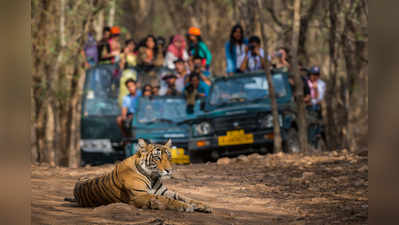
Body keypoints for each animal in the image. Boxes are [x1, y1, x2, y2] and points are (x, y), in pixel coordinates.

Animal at [64, 139, 211, 213]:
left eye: (169, 157)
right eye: (157, 158)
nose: (169, 170)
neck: (152, 176)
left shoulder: (163, 191)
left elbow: (183, 196)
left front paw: (203, 205)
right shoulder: (140, 195)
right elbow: (169, 200)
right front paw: (185, 207)